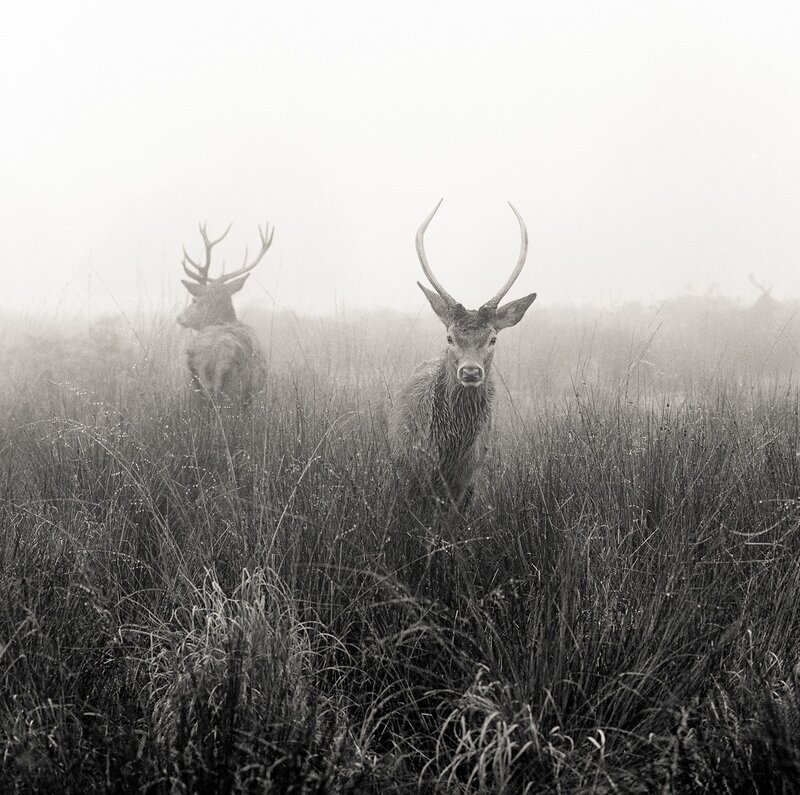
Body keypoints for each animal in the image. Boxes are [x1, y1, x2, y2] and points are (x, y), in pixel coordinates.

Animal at [388, 199, 536, 516]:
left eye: (493, 338)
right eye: (450, 337)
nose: (470, 371)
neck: (448, 453)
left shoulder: (467, 478)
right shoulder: (413, 472)